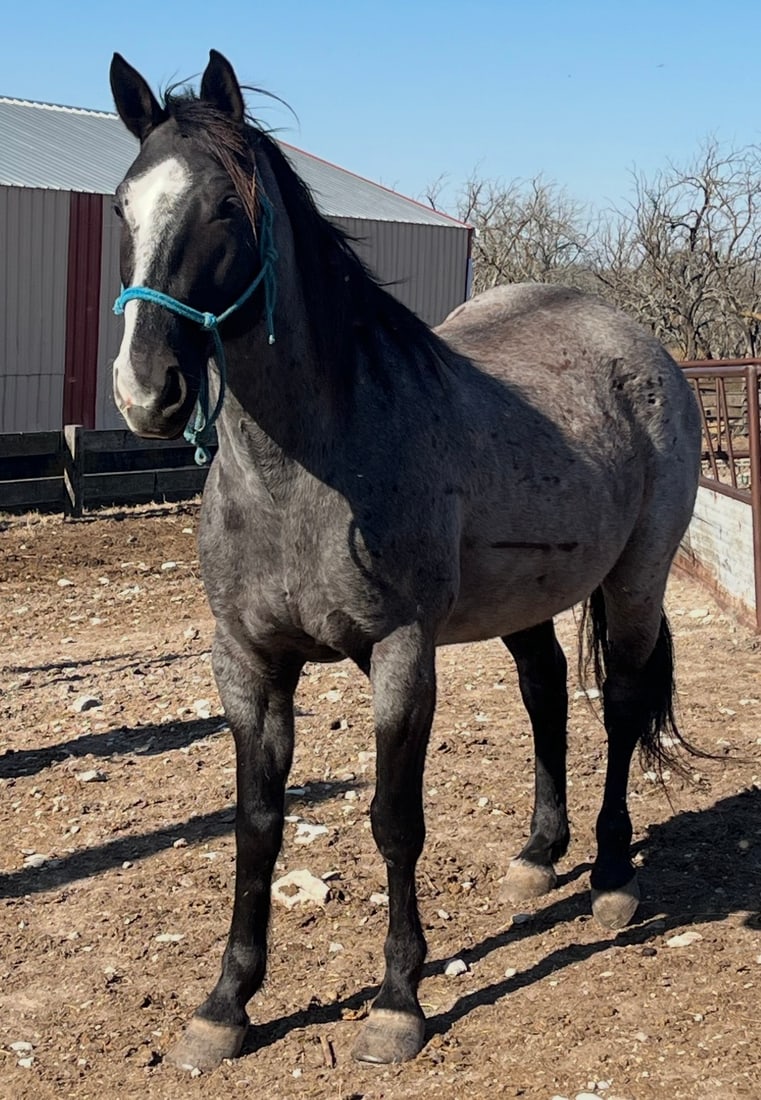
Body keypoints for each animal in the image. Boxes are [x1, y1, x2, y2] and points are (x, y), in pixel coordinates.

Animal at [108, 49, 702, 1073]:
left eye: (225, 206)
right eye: (122, 206)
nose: (147, 392)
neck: (310, 469)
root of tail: (635, 344)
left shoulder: (399, 654)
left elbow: (393, 820)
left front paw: (396, 1001)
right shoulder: (246, 663)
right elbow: (254, 823)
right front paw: (225, 1006)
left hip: (634, 581)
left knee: (621, 707)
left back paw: (611, 876)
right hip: (524, 600)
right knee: (546, 691)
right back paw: (538, 856)